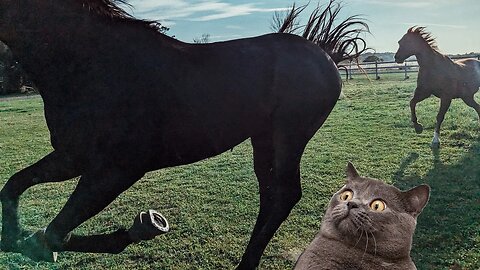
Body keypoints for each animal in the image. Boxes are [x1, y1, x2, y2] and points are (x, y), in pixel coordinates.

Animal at [0, 0, 356, 268]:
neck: (95, 63)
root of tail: (325, 55)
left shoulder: (117, 169)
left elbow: (55, 232)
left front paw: (139, 228)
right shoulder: (73, 157)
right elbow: (14, 187)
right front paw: (18, 237)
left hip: (288, 137)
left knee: (284, 195)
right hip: (264, 141)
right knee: (271, 196)